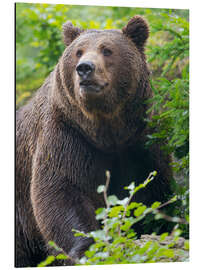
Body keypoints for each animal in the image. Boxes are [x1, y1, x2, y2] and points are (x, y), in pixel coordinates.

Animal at [15, 15, 173, 266]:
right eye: (78, 52)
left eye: (107, 50)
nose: (84, 68)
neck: (106, 131)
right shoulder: (67, 135)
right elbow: (62, 191)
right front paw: (86, 247)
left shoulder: (141, 140)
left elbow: (151, 189)